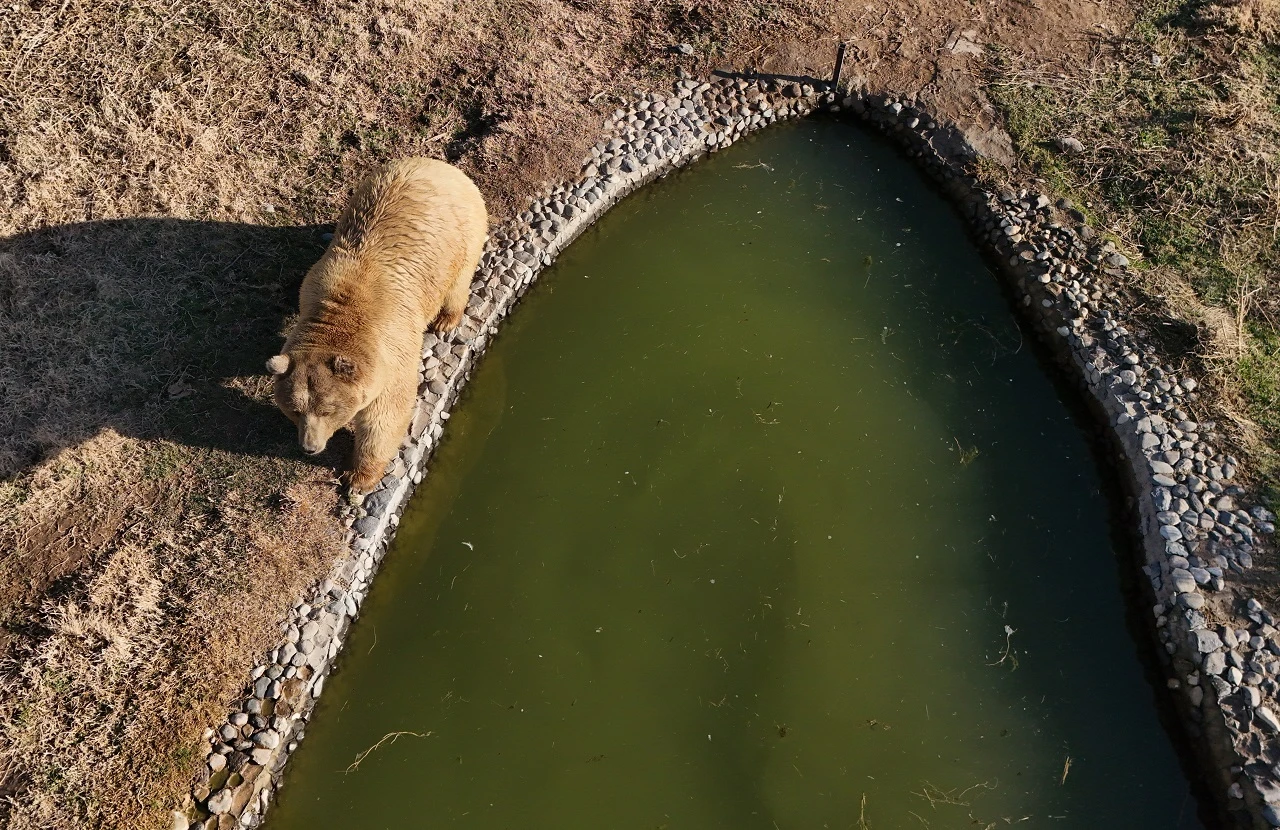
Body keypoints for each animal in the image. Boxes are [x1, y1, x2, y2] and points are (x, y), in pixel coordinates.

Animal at [267, 158, 486, 489]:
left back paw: (445, 321)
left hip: (462, 238)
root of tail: (441, 165)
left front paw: (357, 477)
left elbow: (385, 416)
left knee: (458, 283)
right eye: (294, 409)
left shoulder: (391, 349)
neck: (340, 310)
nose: (309, 447)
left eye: (328, 409)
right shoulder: (313, 283)